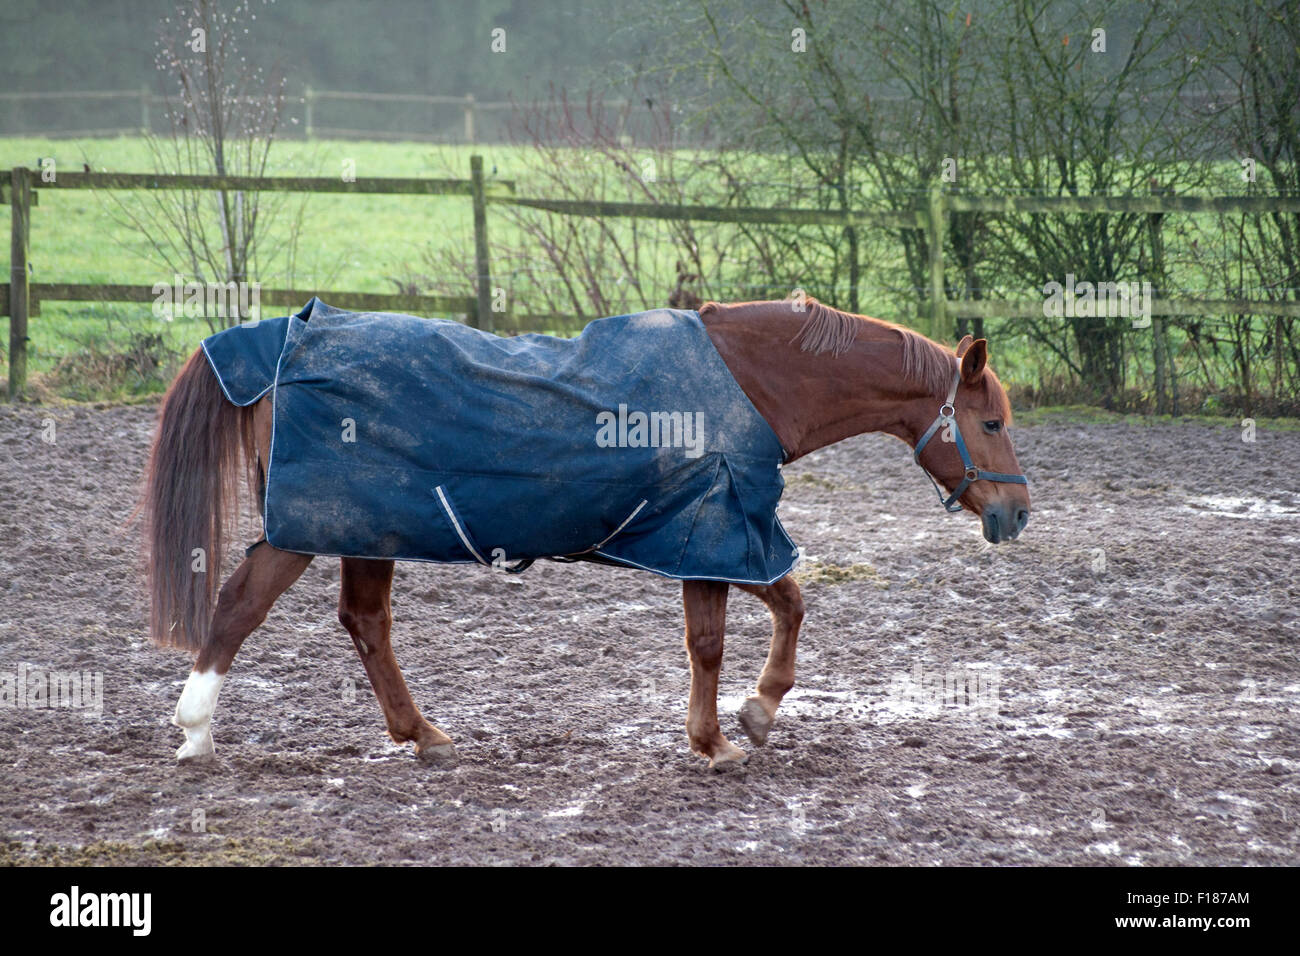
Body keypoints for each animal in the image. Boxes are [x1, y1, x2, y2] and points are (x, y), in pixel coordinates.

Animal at [141, 297, 1030, 771]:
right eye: (990, 421)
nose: (1016, 514)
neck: (754, 382)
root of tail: (286, 338)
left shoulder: (724, 536)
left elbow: (788, 605)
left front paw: (755, 712)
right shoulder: (714, 532)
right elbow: (718, 639)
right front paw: (721, 737)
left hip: (370, 532)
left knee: (364, 624)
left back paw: (422, 736)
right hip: (312, 528)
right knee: (240, 606)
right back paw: (195, 731)